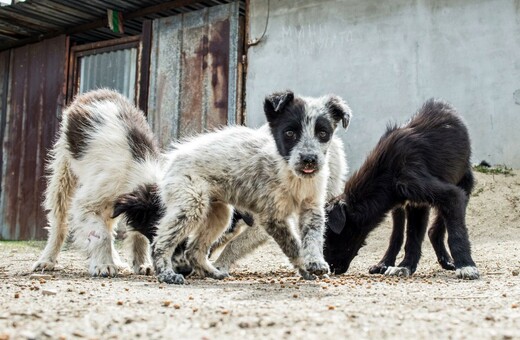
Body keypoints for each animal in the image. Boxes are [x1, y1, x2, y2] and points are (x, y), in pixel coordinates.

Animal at [33, 89, 159, 278]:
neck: (139, 170)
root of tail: (96, 92)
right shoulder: (86, 203)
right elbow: (101, 235)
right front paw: (103, 265)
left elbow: (136, 234)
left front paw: (143, 264)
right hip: (64, 170)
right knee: (59, 222)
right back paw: (47, 260)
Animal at [115, 89, 352, 282]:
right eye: (290, 133)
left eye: (323, 133)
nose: (309, 160)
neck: (291, 174)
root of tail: (172, 158)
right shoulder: (272, 217)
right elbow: (293, 245)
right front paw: (305, 266)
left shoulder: (312, 208)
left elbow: (312, 237)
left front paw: (314, 263)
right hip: (192, 203)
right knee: (160, 242)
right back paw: (167, 274)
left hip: (219, 213)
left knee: (193, 249)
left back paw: (211, 272)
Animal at [324, 98, 480, 278]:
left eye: (326, 237)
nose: (330, 269)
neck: (387, 172)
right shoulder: (415, 203)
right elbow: (411, 237)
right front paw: (405, 266)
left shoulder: (448, 195)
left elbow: (456, 233)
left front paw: (466, 265)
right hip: (403, 207)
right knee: (398, 235)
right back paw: (384, 264)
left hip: (464, 184)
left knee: (435, 229)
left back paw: (448, 261)